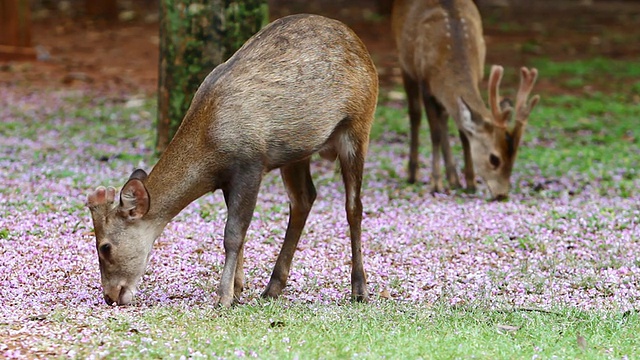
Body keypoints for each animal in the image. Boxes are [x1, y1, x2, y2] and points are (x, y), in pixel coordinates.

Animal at [85, 13, 378, 306]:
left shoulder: (251, 163)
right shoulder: (228, 179)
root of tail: (362, 47)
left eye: (105, 246)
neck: (211, 151)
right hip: (298, 150)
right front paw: (237, 289)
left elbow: (233, 234)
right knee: (304, 198)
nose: (110, 295)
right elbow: (241, 233)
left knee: (354, 206)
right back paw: (273, 287)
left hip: (358, 124)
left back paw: (359, 289)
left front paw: (224, 296)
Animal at [392, 0, 536, 200]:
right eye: (494, 159)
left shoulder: (478, 75)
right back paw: (413, 175)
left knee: (444, 116)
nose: (502, 195)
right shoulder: (425, 83)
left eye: (513, 157)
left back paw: (453, 178)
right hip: (404, 61)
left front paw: (470, 183)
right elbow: (435, 134)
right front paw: (435, 184)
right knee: (415, 114)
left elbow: (463, 133)